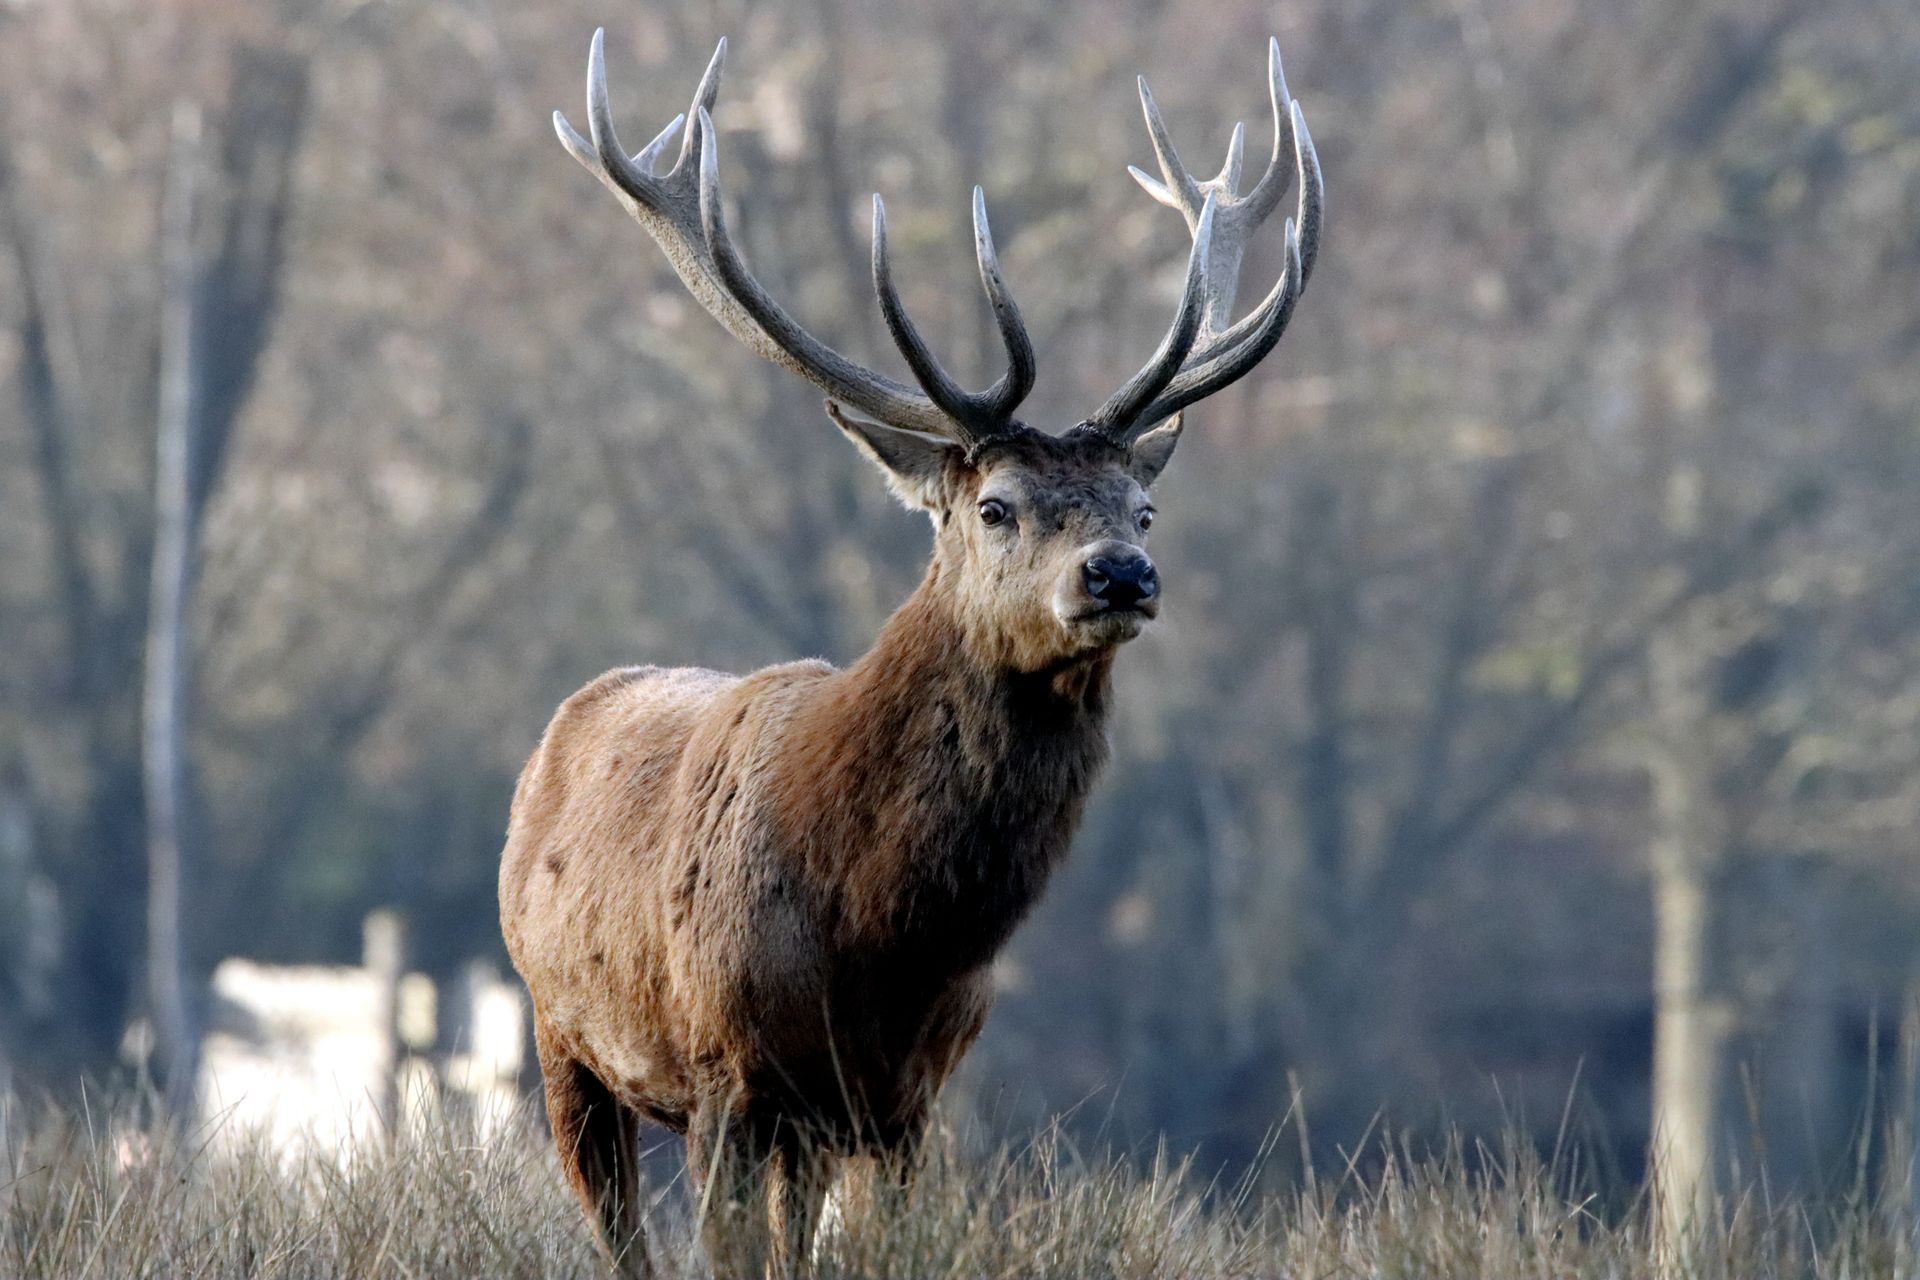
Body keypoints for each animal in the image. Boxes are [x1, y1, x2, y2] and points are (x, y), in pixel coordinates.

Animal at [500, 26, 1321, 1278]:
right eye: (997, 504)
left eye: (1143, 508)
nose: (1120, 576)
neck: (876, 935)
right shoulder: (727, 1075)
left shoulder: (906, 1097)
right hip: (562, 1034)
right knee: (618, 1228)